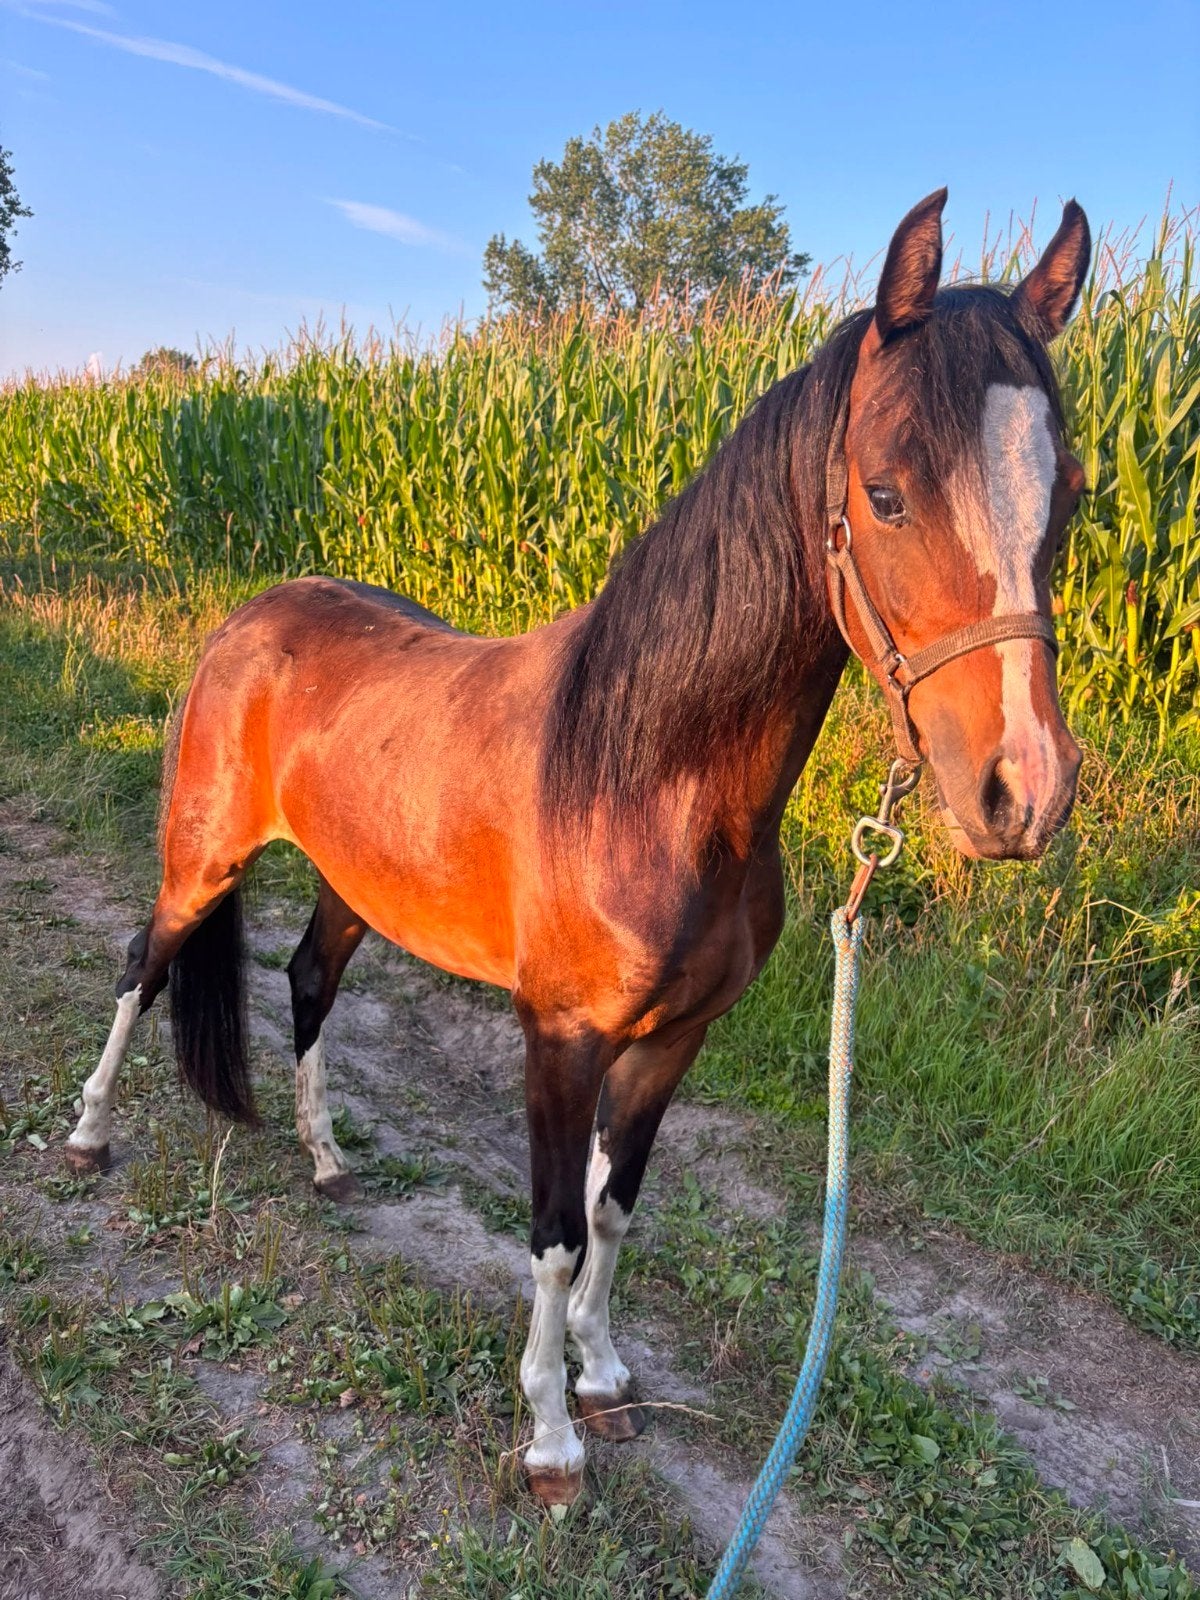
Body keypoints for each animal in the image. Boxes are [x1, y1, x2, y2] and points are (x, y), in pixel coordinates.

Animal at [66, 189, 1091, 1505]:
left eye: (1068, 491)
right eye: (887, 489)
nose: (1025, 790)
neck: (646, 777)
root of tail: (251, 618)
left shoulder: (672, 1041)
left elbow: (614, 1209)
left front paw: (602, 1378)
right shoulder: (560, 1038)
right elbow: (553, 1233)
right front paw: (550, 1438)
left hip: (355, 885)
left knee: (305, 981)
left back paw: (328, 1159)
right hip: (203, 859)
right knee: (142, 966)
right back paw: (88, 1136)